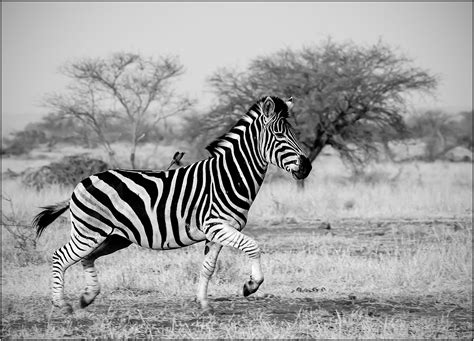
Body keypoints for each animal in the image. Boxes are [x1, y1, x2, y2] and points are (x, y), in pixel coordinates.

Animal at [32, 94, 312, 312]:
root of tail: (81, 183)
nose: (307, 167)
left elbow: (208, 267)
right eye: (279, 134)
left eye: (293, 133)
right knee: (60, 256)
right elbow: (254, 247)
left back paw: (87, 297)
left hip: (115, 237)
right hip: (89, 232)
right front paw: (250, 286)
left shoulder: (218, 233)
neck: (229, 177)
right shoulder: (216, 226)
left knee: (87, 259)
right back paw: (61, 304)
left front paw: (203, 303)